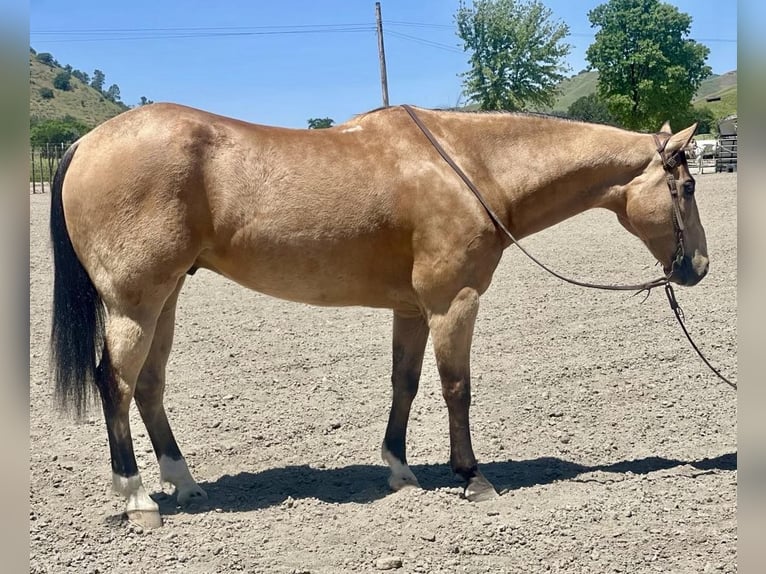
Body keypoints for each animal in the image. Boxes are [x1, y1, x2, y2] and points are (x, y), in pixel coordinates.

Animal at [46, 104, 708, 532]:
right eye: (687, 187)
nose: (698, 266)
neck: (470, 166)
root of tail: (86, 143)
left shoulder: (412, 309)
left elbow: (405, 385)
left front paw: (399, 470)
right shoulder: (453, 302)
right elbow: (456, 388)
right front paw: (472, 478)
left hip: (165, 301)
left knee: (150, 387)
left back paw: (183, 483)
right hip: (135, 302)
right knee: (116, 384)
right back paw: (137, 498)